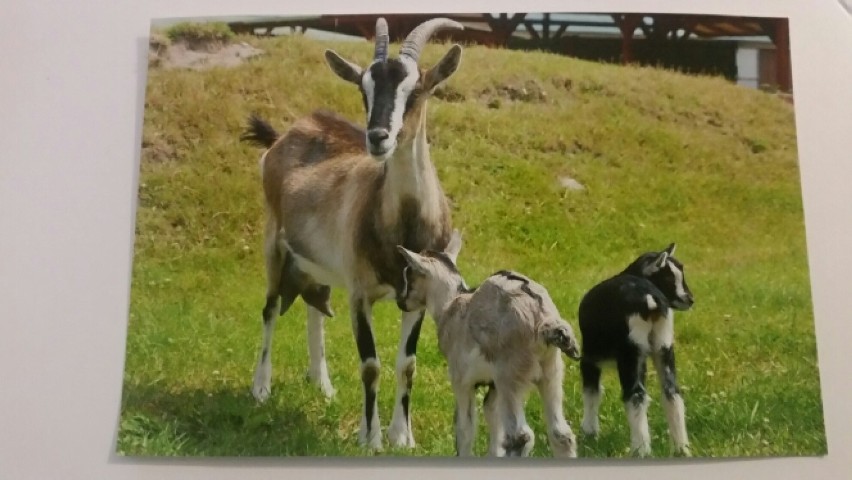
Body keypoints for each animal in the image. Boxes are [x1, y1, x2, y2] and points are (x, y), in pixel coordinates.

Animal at [240, 15, 466, 450]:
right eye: (364, 89)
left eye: (416, 90)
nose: (377, 138)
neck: (403, 226)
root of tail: (284, 136)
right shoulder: (361, 295)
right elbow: (371, 365)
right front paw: (371, 439)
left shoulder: (418, 298)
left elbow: (407, 364)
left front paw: (402, 436)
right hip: (274, 245)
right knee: (271, 309)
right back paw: (260, 388)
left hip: (318, 265)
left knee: (315, 307)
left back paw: (322, 384)